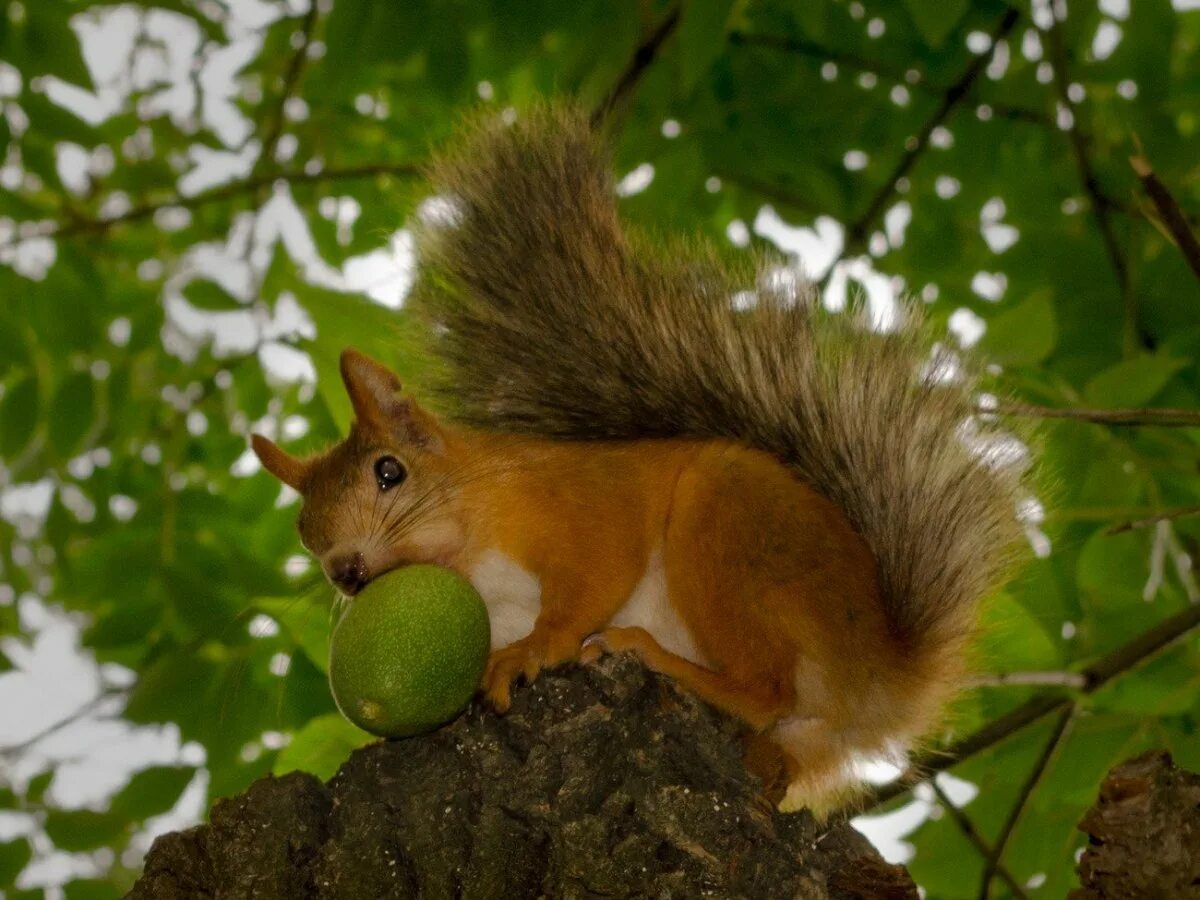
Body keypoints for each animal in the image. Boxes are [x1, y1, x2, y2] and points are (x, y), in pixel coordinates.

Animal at [253, 105, 1032, 816]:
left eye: (390, 471)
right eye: (304, 534)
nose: (347, 573)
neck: (473, 546)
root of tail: (879, 677)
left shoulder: (581, 496)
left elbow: (597, 566)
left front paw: (536, 648)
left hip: (729, 531)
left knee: (765, 690)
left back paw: (655, 655)